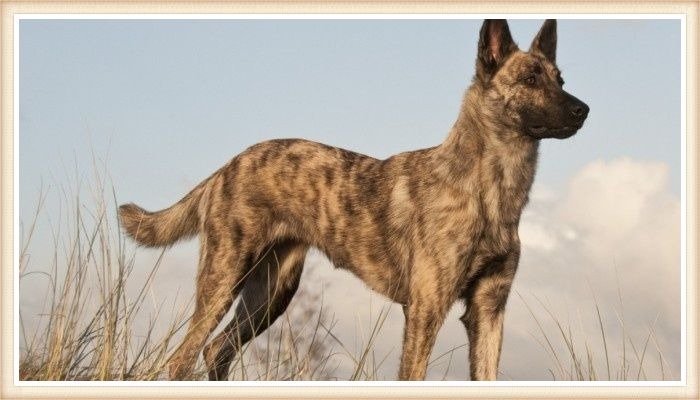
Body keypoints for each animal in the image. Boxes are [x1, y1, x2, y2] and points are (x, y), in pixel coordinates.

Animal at [120, 19, 592, 382]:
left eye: (561, 80)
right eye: (530, 80)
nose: (583, 110)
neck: (490, 190)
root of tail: (228, 165)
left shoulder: (489, 309)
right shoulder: (426, 309)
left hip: (270, 295)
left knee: (216, 349)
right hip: (224, 280)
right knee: (182, 358)